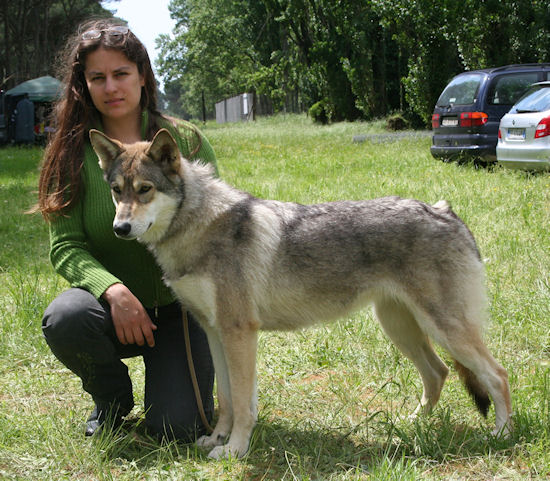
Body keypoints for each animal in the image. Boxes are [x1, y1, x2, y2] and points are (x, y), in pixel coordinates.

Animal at [89, 127, 512, 458]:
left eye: (145, 190)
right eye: (116, 191)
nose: (120, 228)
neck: (197, 227)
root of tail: (445, 211)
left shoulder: (239, 333)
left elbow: (242, 402)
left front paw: (236, 449)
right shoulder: (215, 333)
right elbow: (226, 398)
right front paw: (217, 439)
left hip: (443, 329)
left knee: (498, 374)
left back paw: (501, 435)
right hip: (401, 328)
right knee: (439, 373)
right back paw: (414, 425)